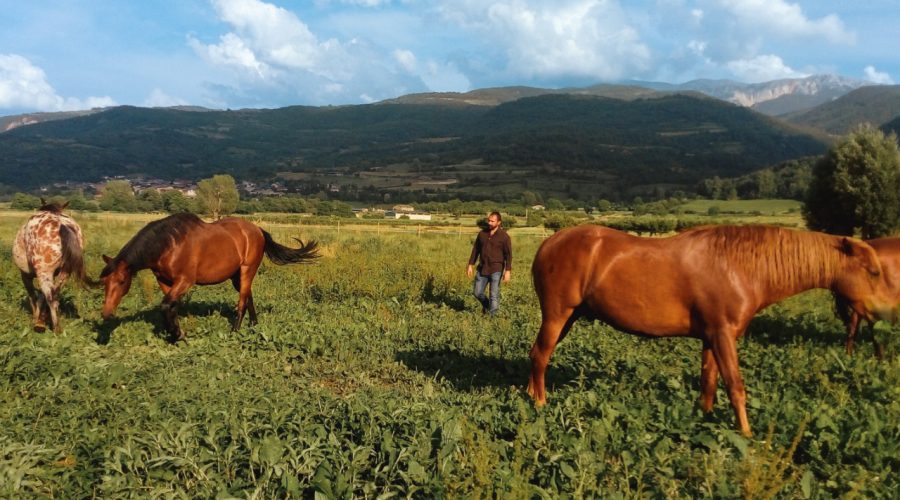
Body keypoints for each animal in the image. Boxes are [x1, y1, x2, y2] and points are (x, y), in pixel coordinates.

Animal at [13, 199, 96, 332]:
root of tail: (62, 225)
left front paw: (36, 319)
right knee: (55, 295)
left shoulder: (25, 275)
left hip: (44, 273)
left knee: (50, 297)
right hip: (64, 274)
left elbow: (33, 297)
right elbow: (41, 297)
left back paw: (56, 329)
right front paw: (41, 319)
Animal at [101, 213, 320, 342]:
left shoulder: (185, 281)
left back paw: (235, 331)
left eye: (122, 281)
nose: (106, 314)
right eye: (104, 283)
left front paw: (177, 334)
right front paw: (176, 333)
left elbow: (165, 306)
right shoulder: (164, 282)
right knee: (248, 295)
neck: (169, 245)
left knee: (242, 301)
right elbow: (170, 307)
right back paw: (253, 324)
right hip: (236, 276)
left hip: (247, 269)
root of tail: (257, 230)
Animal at [528, 225, 900, 436]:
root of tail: (548, 243)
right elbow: (735, 386)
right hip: (558, 315)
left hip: (569, 318)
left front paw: (704, 421)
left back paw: (532, 396)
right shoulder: (723, 335)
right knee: (541, 356)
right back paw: (541, 403)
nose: (889, 312)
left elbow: (708, 384)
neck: (740, 265)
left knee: (536, 355)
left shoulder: (710, 337)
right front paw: (747, 436)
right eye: (873, 271)